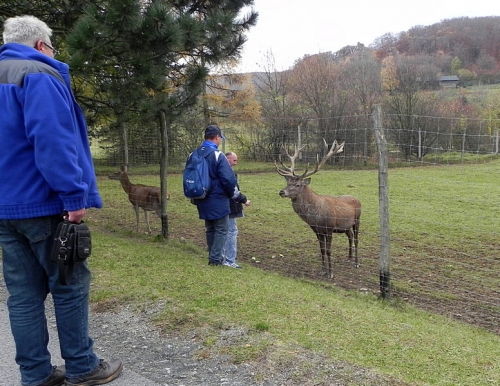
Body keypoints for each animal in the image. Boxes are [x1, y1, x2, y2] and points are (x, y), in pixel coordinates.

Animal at [276, 140, 362, 278]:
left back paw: (356, 263)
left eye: (297, 184)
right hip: (345, 226)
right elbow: (322, 250)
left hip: (357, 219)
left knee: (356, 239)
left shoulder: (329, 228)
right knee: (350, 236)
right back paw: (349, 258)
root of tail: (357, 199)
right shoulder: (317, 230)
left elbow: (328, 250)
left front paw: (331, 273)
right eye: (288, 183)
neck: (316, 217)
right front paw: (322, 270)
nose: (282, 192)